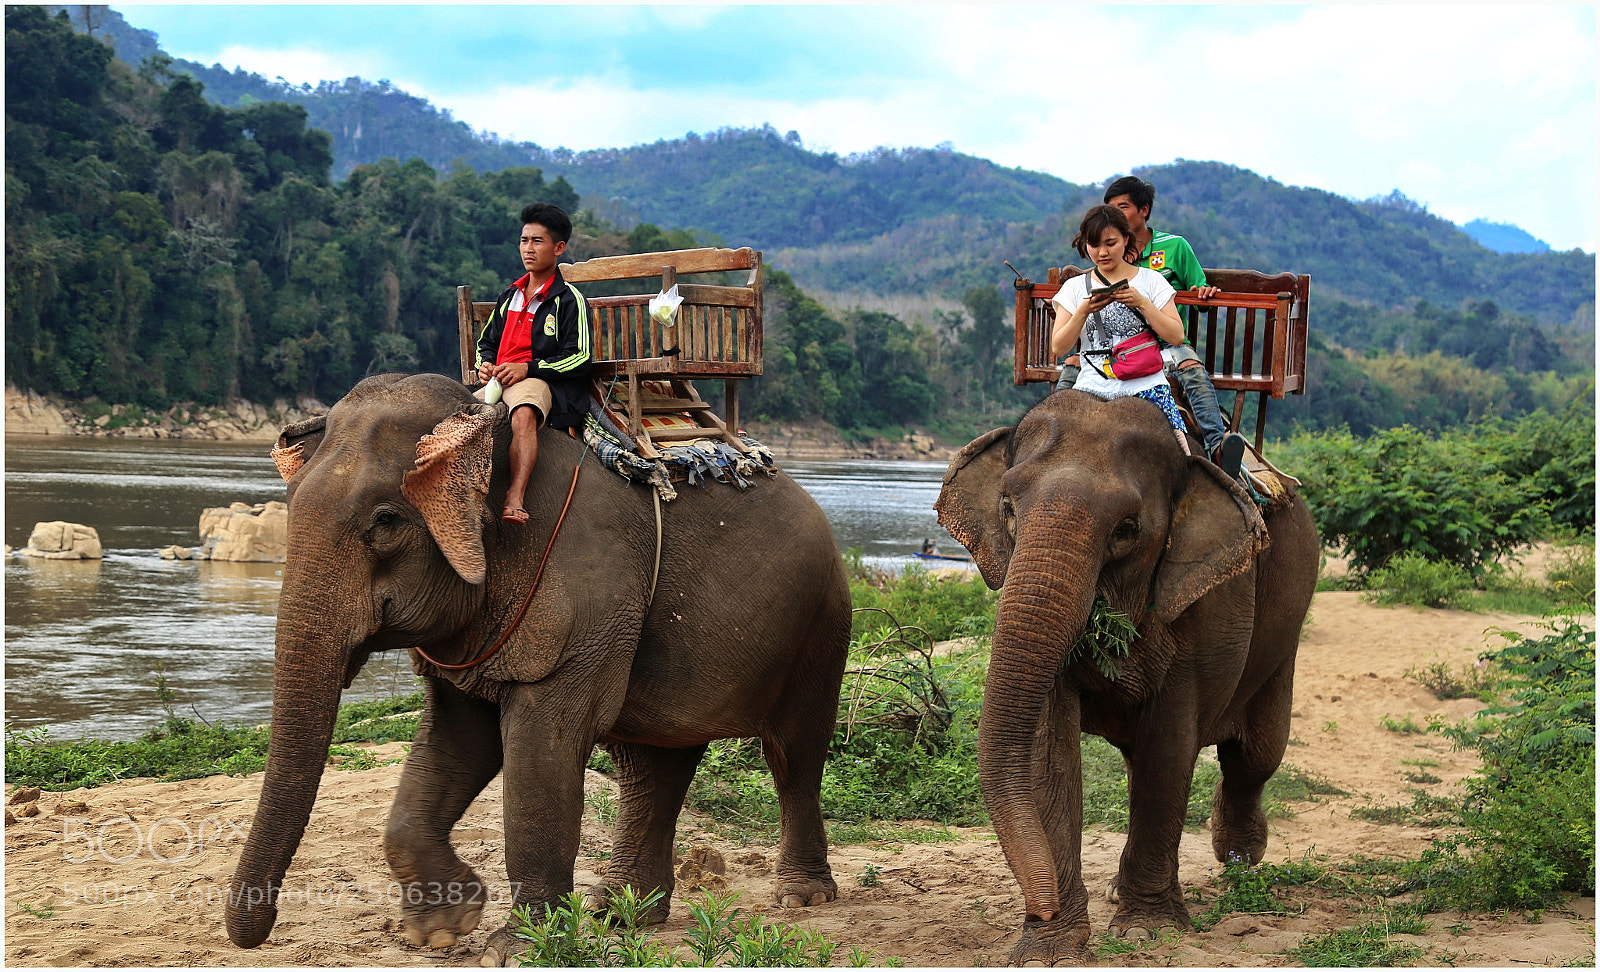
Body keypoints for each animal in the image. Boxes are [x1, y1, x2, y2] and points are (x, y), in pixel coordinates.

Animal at [224, 373, 851, 964]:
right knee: (653, 765)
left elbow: (541, 754)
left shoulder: (584, 595)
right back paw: (620, 913)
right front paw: (443, 928)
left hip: (821, 624)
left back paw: (801, 896)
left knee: (794, 753)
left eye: (385, 521)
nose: (255, 932)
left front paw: (518, 949)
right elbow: (461, 740)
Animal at [934, 388, 1318, 966]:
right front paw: (1049, 950)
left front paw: (1146, 933)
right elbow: (1048, 749)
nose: (1042, 905)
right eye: (1007, 509)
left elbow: (1170, 743)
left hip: (1287, 627)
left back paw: (1238, 858)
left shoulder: (1210, 600)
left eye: (1126, 531)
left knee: (1254, 756)